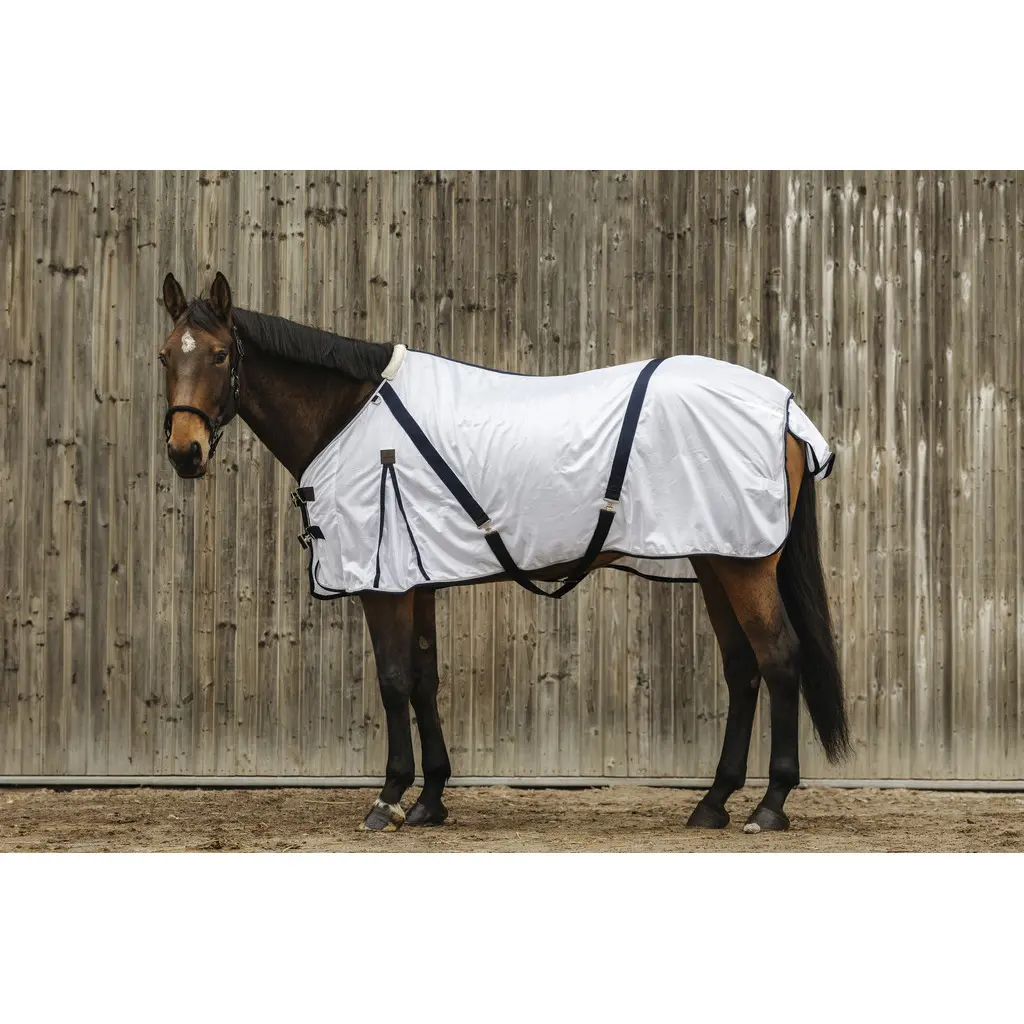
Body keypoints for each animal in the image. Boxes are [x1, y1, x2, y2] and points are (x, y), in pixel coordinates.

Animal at [159, 270, 850, 833]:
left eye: (220, 355)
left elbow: (392, 680)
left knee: (779, 658)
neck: (352, 416)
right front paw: (431, 799)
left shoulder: (385, 582)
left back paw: (770, 805)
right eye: (166, 355)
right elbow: (424, 678)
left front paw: (389, 799)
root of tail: (786, 411)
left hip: (744, 564)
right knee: (742, 668)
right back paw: (712, 803)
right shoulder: (417, 576)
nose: (184, 452)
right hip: (714, 559)